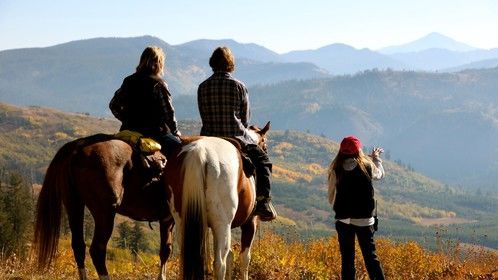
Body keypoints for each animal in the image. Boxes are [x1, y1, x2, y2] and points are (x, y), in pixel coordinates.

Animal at [33, 133, 175, 280]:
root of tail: (77, 147)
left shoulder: (167, 219)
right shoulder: (169, 219)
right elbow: (166, 250)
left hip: (73, 204)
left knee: (79, 246)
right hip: (105, 212)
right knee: (97, 250)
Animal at [165, 122, 270, 280]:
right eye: (265, 144)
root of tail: (199, 153)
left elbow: (230, 256)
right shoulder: (250, 222)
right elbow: (244, 258)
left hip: (182, 221)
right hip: (222, 223)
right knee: (219, 264)